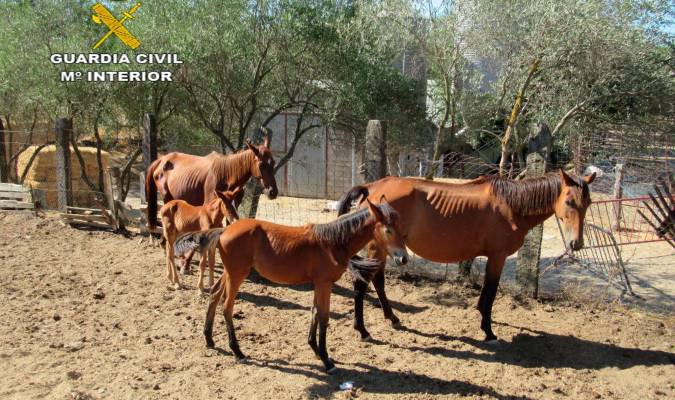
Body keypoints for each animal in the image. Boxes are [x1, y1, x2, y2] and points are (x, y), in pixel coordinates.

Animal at [175, 198, 409, 373]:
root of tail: (223, 231)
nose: (403, 258)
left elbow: (314, 313)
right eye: (388, 230)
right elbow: (324, 317)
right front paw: (327, 360)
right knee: (227, 306)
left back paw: (209, 339)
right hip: (237, 274)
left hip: (230, 273)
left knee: (214, 294)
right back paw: (237, 351)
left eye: (401, 228)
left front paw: (314, 349)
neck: (331, 243)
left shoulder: (318, 284)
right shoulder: (324, 284)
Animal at [336, 169, 596, 343]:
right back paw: (363, 330)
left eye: (588, 203)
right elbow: (491, 291)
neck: (511, 205)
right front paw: (488, 331)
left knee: (378, 282)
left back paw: (392, 317)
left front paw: (481, 315)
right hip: (376, 249)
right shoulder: (498, 256)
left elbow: (486, 292)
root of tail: (372, 187)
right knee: (362, 284)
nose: (576, 243)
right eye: (569, 201)